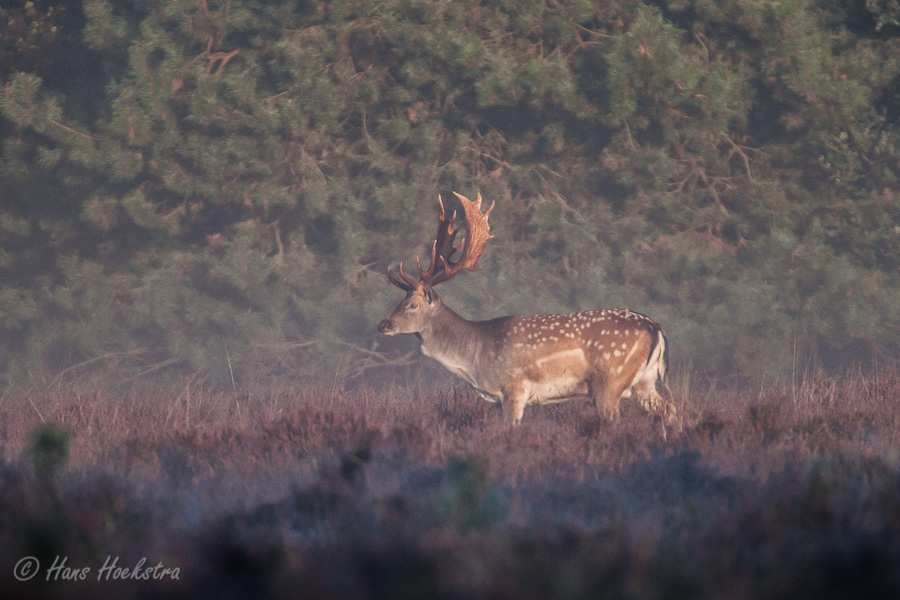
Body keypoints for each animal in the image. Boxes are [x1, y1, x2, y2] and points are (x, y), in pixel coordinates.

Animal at [378, 192, 675, 425]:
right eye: (400, 300)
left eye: (412, 304)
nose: (384, 324)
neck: (475, 359)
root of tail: (656, 328)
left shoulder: (514, 388)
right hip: (643, 383)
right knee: (670, 409)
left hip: (610, 381)